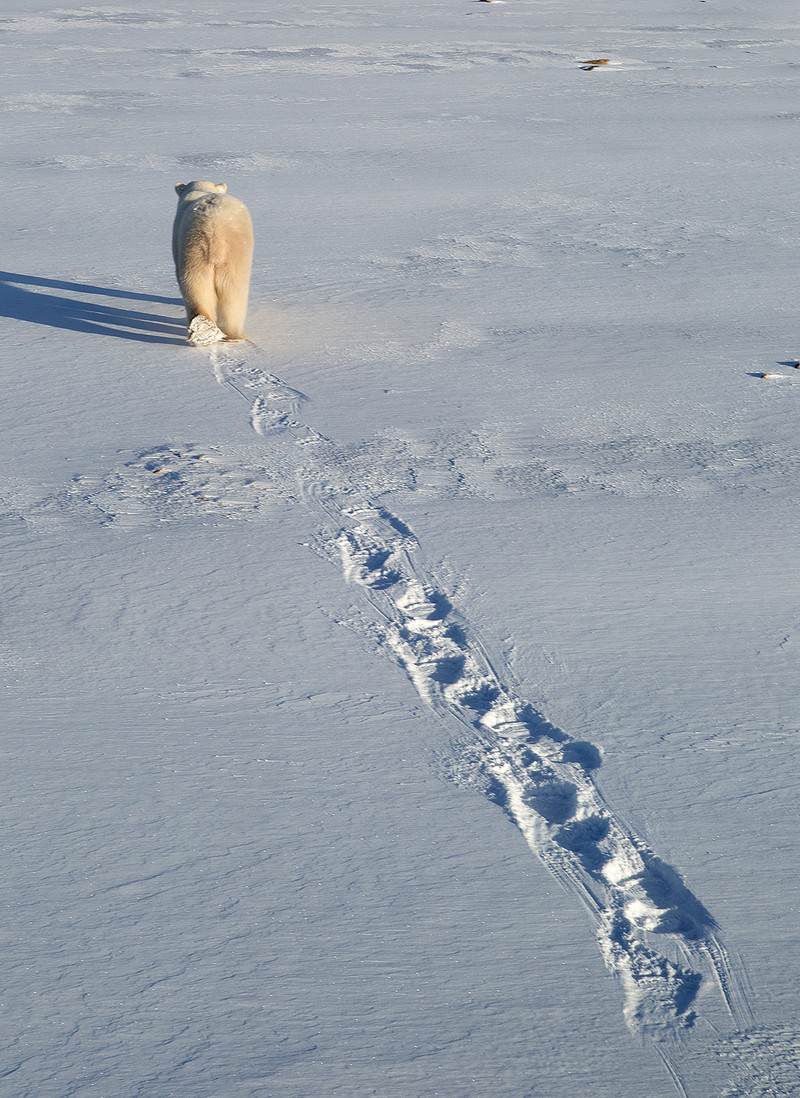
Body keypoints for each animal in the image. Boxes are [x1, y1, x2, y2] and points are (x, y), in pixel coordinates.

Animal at [171, 181, 252, 342]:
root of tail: (215, 232)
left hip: (196, 255)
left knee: (198, 289)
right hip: (230, 256)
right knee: (232, 295)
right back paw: (233, 335)